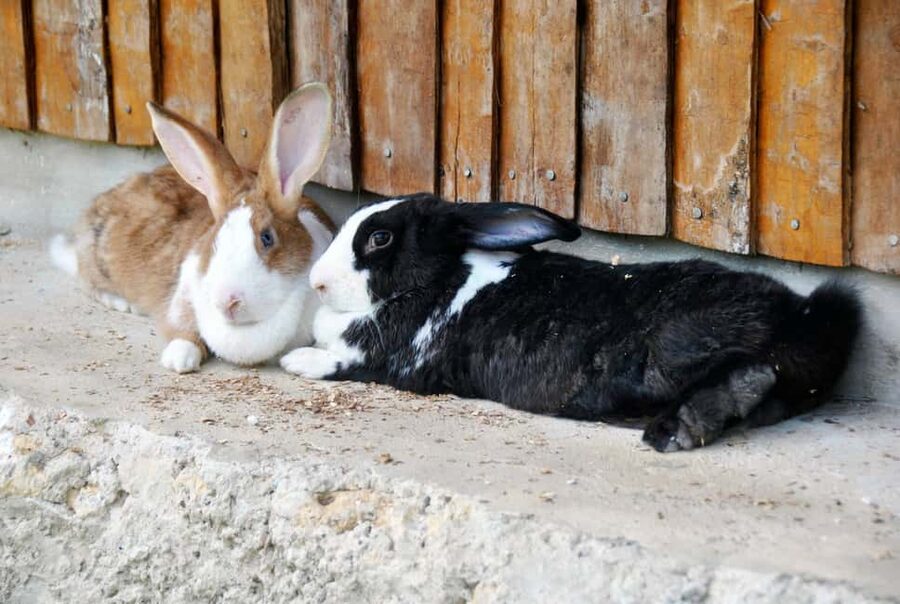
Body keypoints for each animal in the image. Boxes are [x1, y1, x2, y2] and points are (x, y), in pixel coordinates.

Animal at [50, 83, 336, 374]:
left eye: (267, 238)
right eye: (214, 241)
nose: (227, 301)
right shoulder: (181, 300)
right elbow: (182, 332)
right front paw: (179, 359)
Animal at [280, 195, 863, 452]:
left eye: (379, 239)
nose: (318, 282)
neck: (440, 280)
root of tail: (798, 320)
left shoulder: (388, 359)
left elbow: (337, 361)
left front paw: (294, 360)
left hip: (675, 349)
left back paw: (680, 428)